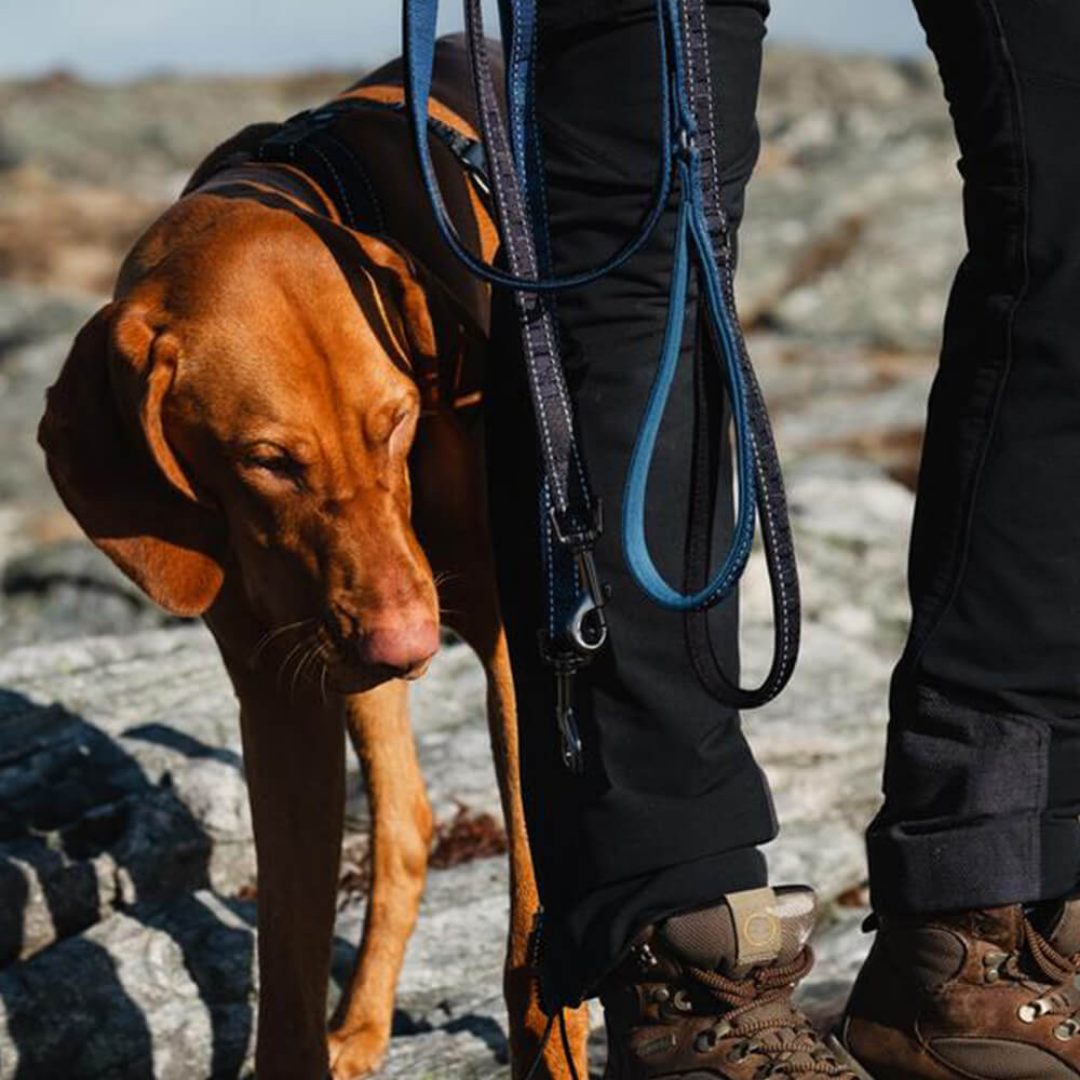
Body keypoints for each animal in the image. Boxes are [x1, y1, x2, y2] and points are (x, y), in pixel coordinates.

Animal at [38, 38, 591, 1080]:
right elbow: (287, 967)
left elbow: (538, 946)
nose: (411, 642)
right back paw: (364, 1025)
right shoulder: (283, 692)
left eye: (397, 420)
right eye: (268, 460)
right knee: (407, 827)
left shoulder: (518, 649)